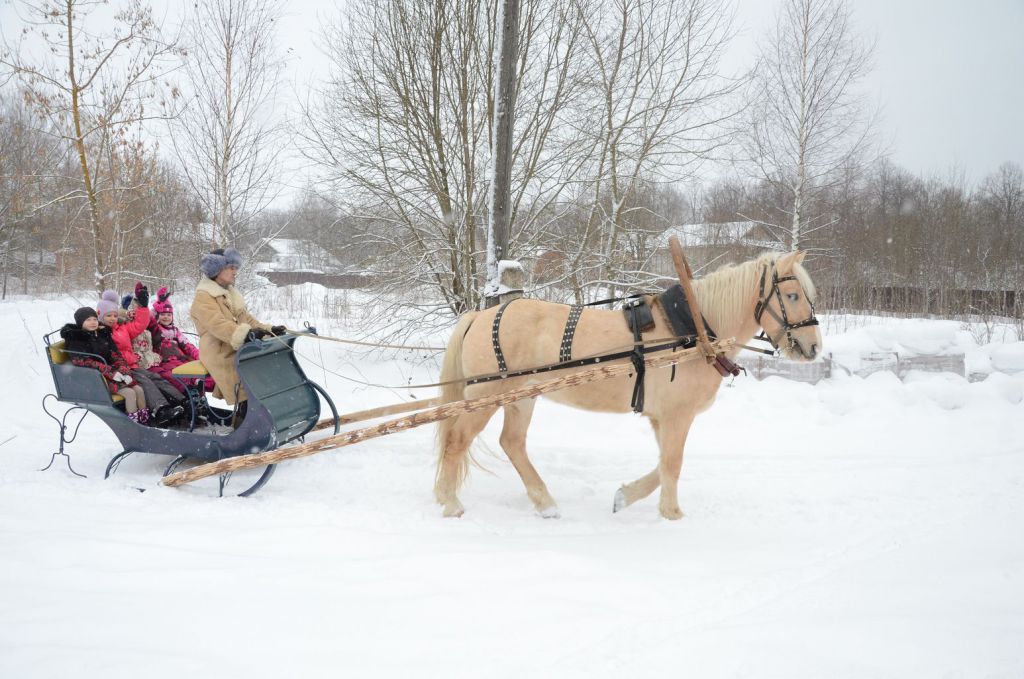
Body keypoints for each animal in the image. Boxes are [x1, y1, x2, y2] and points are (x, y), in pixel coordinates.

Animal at [432, 249, 823, 520]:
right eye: (792, 296)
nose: (814, 347)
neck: (692, 330)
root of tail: (480, 316)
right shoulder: (677, 415)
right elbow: (673, 463)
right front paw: (672, 514)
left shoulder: (660, 417)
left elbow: (663, 463)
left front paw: (625, 496)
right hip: (486, 394)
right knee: (457, 441)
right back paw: (450, 503)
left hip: (521, 397)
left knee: (511, 443)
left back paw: (545, 503)